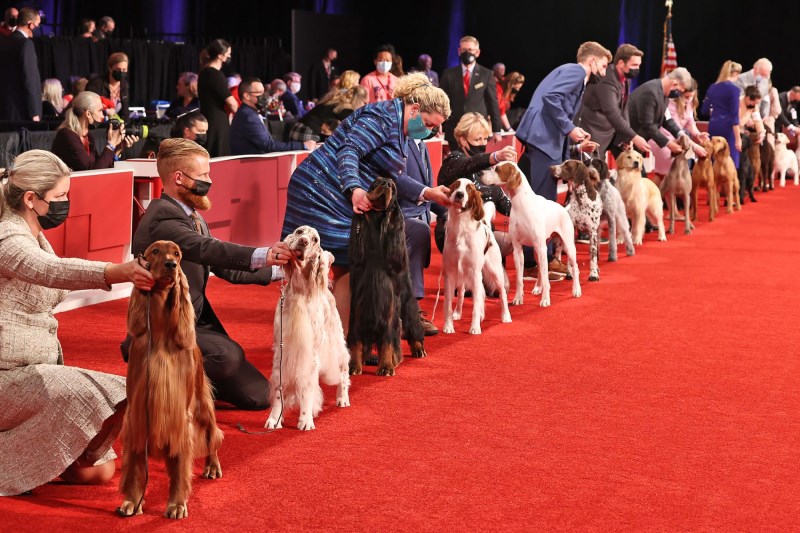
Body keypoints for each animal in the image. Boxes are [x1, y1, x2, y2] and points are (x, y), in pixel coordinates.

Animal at [117, 240, 222, 520]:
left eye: (177, 254)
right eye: (155, 251)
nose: (171, 265)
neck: (162, 332)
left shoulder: (181, 415)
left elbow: (181, 467)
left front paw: (176, 504)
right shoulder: (138, 412)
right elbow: (136, 465)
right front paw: (133, 501)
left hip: (201, 404)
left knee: (212, 434)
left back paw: (212, 466)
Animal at [346, 177, 428, 376]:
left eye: (393, 186)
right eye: (375, 183)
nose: (386, 185)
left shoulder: (390, 307)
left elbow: (388, 339)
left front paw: (386, 366)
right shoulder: (359, 306)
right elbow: (356, 339)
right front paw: (354, 365)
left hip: (407, 300)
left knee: (412, 323)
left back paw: (418, 348)